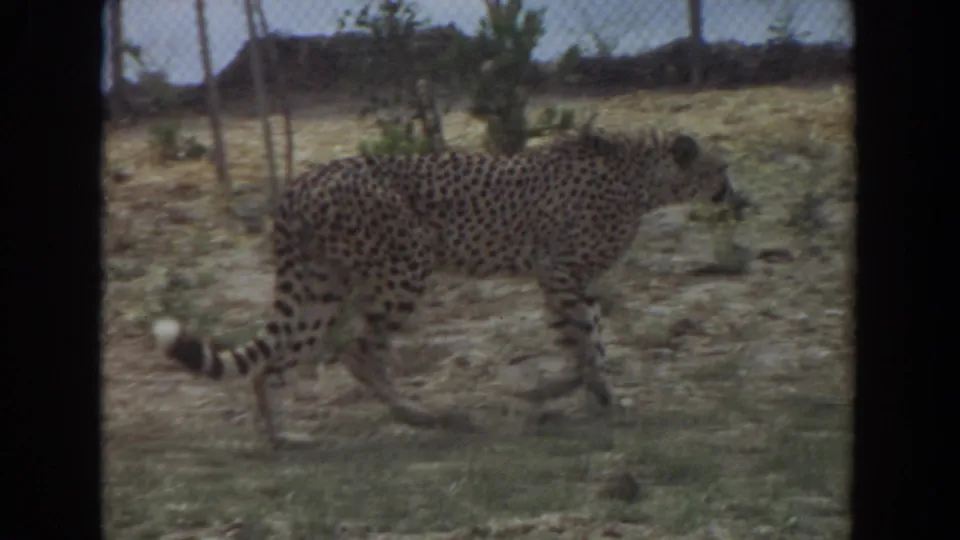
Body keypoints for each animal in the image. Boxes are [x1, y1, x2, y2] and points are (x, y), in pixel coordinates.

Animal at [152, 125, 735, 448]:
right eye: (721, 169)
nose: (737, 196)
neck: (642, 177)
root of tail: (302, 181)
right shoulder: (561, 270)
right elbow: (586, 343)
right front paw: (585, 393)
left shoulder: (562, 278)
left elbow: (585, 340)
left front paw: (586, 395)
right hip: (407, 266)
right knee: (359, 349)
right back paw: (427, 416)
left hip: (321, 288)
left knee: (274, 364)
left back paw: (283, 437)